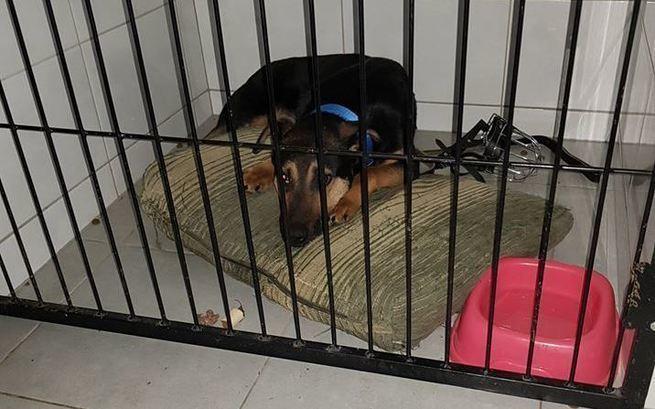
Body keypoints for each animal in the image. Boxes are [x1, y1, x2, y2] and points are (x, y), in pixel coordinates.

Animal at [215, 54, 416, 247]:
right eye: (284, 177)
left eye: (325, 179)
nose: (294, 237)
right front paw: (260, 172)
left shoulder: (410, 162)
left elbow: (371, 173)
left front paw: (345, 202)